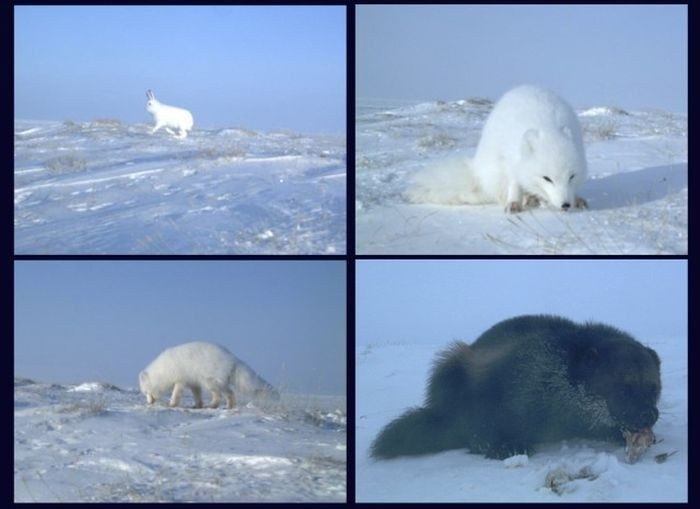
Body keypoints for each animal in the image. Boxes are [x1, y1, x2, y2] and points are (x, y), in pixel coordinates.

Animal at [138, 342, 278, 408]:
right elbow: (197, 394)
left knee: (222, 394)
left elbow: (176, 393)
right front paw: (197, 405)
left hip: (210, 380)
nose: (148, 403)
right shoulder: (193, 382)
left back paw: (215, 406)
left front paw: (172, 404)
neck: (164, 370)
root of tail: (233, 359)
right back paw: (225, 406)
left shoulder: (180, 379)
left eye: (146, 392)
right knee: (227, 393)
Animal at [408, 84, 588, 211]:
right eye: (547, 178)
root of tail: (475, 170)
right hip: (494, 172)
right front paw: (514, 203)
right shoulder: (510, 160)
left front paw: (577, 199)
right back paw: (528, 200)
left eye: (571, 176)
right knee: (500, 194)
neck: (546, 125)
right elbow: (515, 184)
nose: (566, 205)